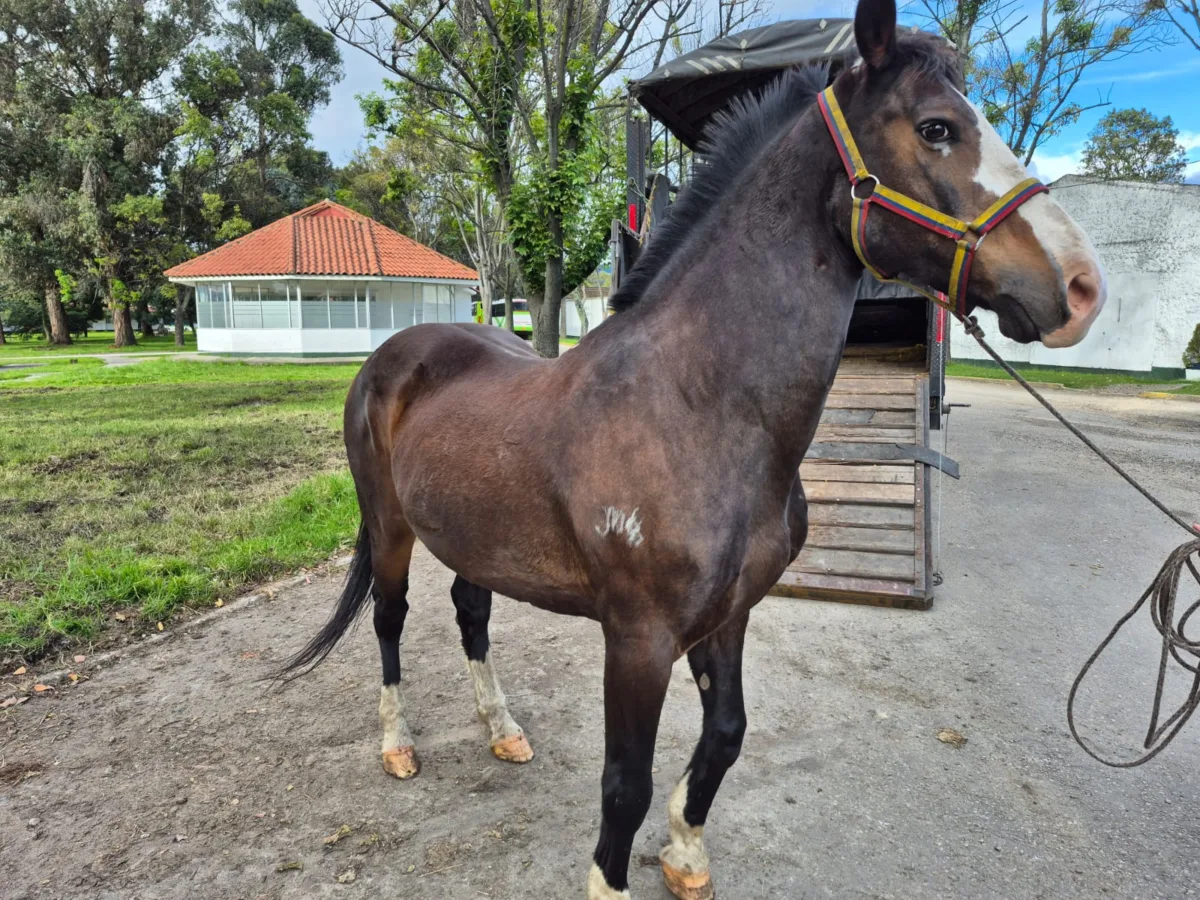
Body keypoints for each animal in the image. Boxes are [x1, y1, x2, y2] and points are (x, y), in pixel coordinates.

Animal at [280, 0, 1106, 895]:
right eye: (936, 127)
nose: (1082, 288)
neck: (697, 407)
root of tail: (396, 355)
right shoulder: (638, 640)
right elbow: (624, 784)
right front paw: (615, 876)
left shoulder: (731, 614)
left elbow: (726, 735)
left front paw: (685, 851)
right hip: (391, 527)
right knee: (389, 620)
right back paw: (398, 746)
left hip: (476, 534)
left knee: (471, 612)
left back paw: (502, 730)